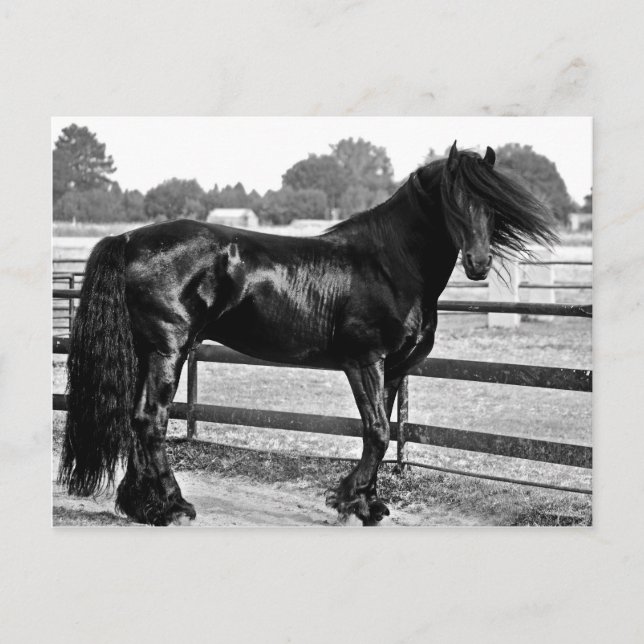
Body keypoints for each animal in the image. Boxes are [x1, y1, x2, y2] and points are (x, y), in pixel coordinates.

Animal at [58, 141, 557, 526]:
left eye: (491, 205)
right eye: (451, 200)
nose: (478, 264)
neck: (389, 263)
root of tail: (128, 240)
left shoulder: (393, 369)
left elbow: (381, 433)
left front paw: (367, 503)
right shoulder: (363, 361)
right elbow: (377, 431)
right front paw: (349, 501)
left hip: (147, 351)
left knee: (137, 417)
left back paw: (142, 507)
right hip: (168, 349)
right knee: (152, 420)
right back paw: (173, 506)